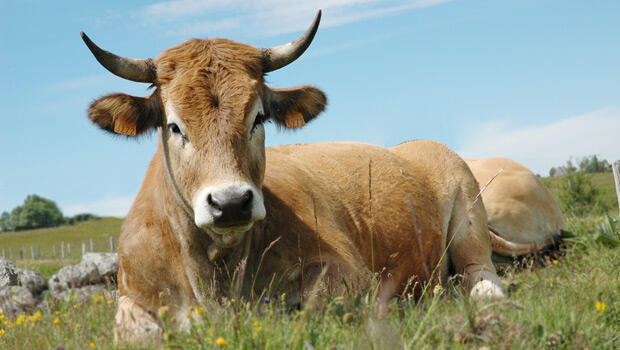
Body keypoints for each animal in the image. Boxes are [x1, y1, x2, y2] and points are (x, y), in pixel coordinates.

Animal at [80, 11, 504, 344]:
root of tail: (414, 145)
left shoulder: (348, 273)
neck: (214, 272)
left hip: (469, 218)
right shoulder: (131, 297)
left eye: (259, 118)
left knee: (482, 279)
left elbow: (311, 307)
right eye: (173, 126)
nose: (231, 202)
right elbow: (138, 331)